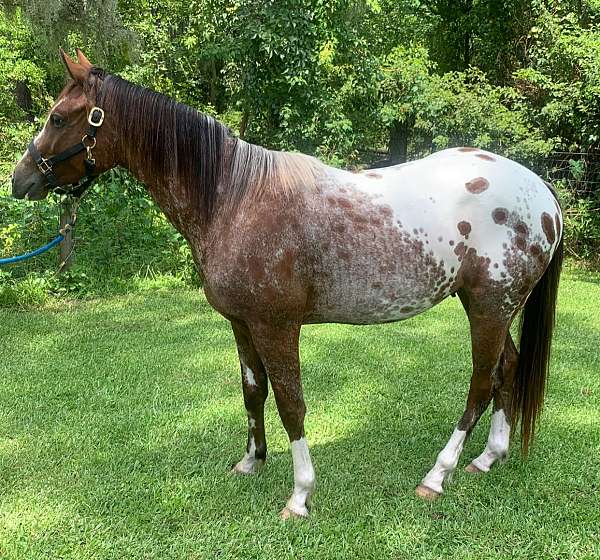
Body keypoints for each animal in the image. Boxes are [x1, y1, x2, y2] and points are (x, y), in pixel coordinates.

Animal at [10, 50, 564, 520]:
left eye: (59, 117)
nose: (20, 180)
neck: (233, 198)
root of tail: (542, 191)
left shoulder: (276, 327)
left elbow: (290, 402)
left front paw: (300, 495)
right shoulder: (241, 323)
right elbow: (253, 391)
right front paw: (251, 461)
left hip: (489, 308)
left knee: (480, 383)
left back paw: (437, 474)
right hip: (490, 307)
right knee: (507, 371)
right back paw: (488, 458)